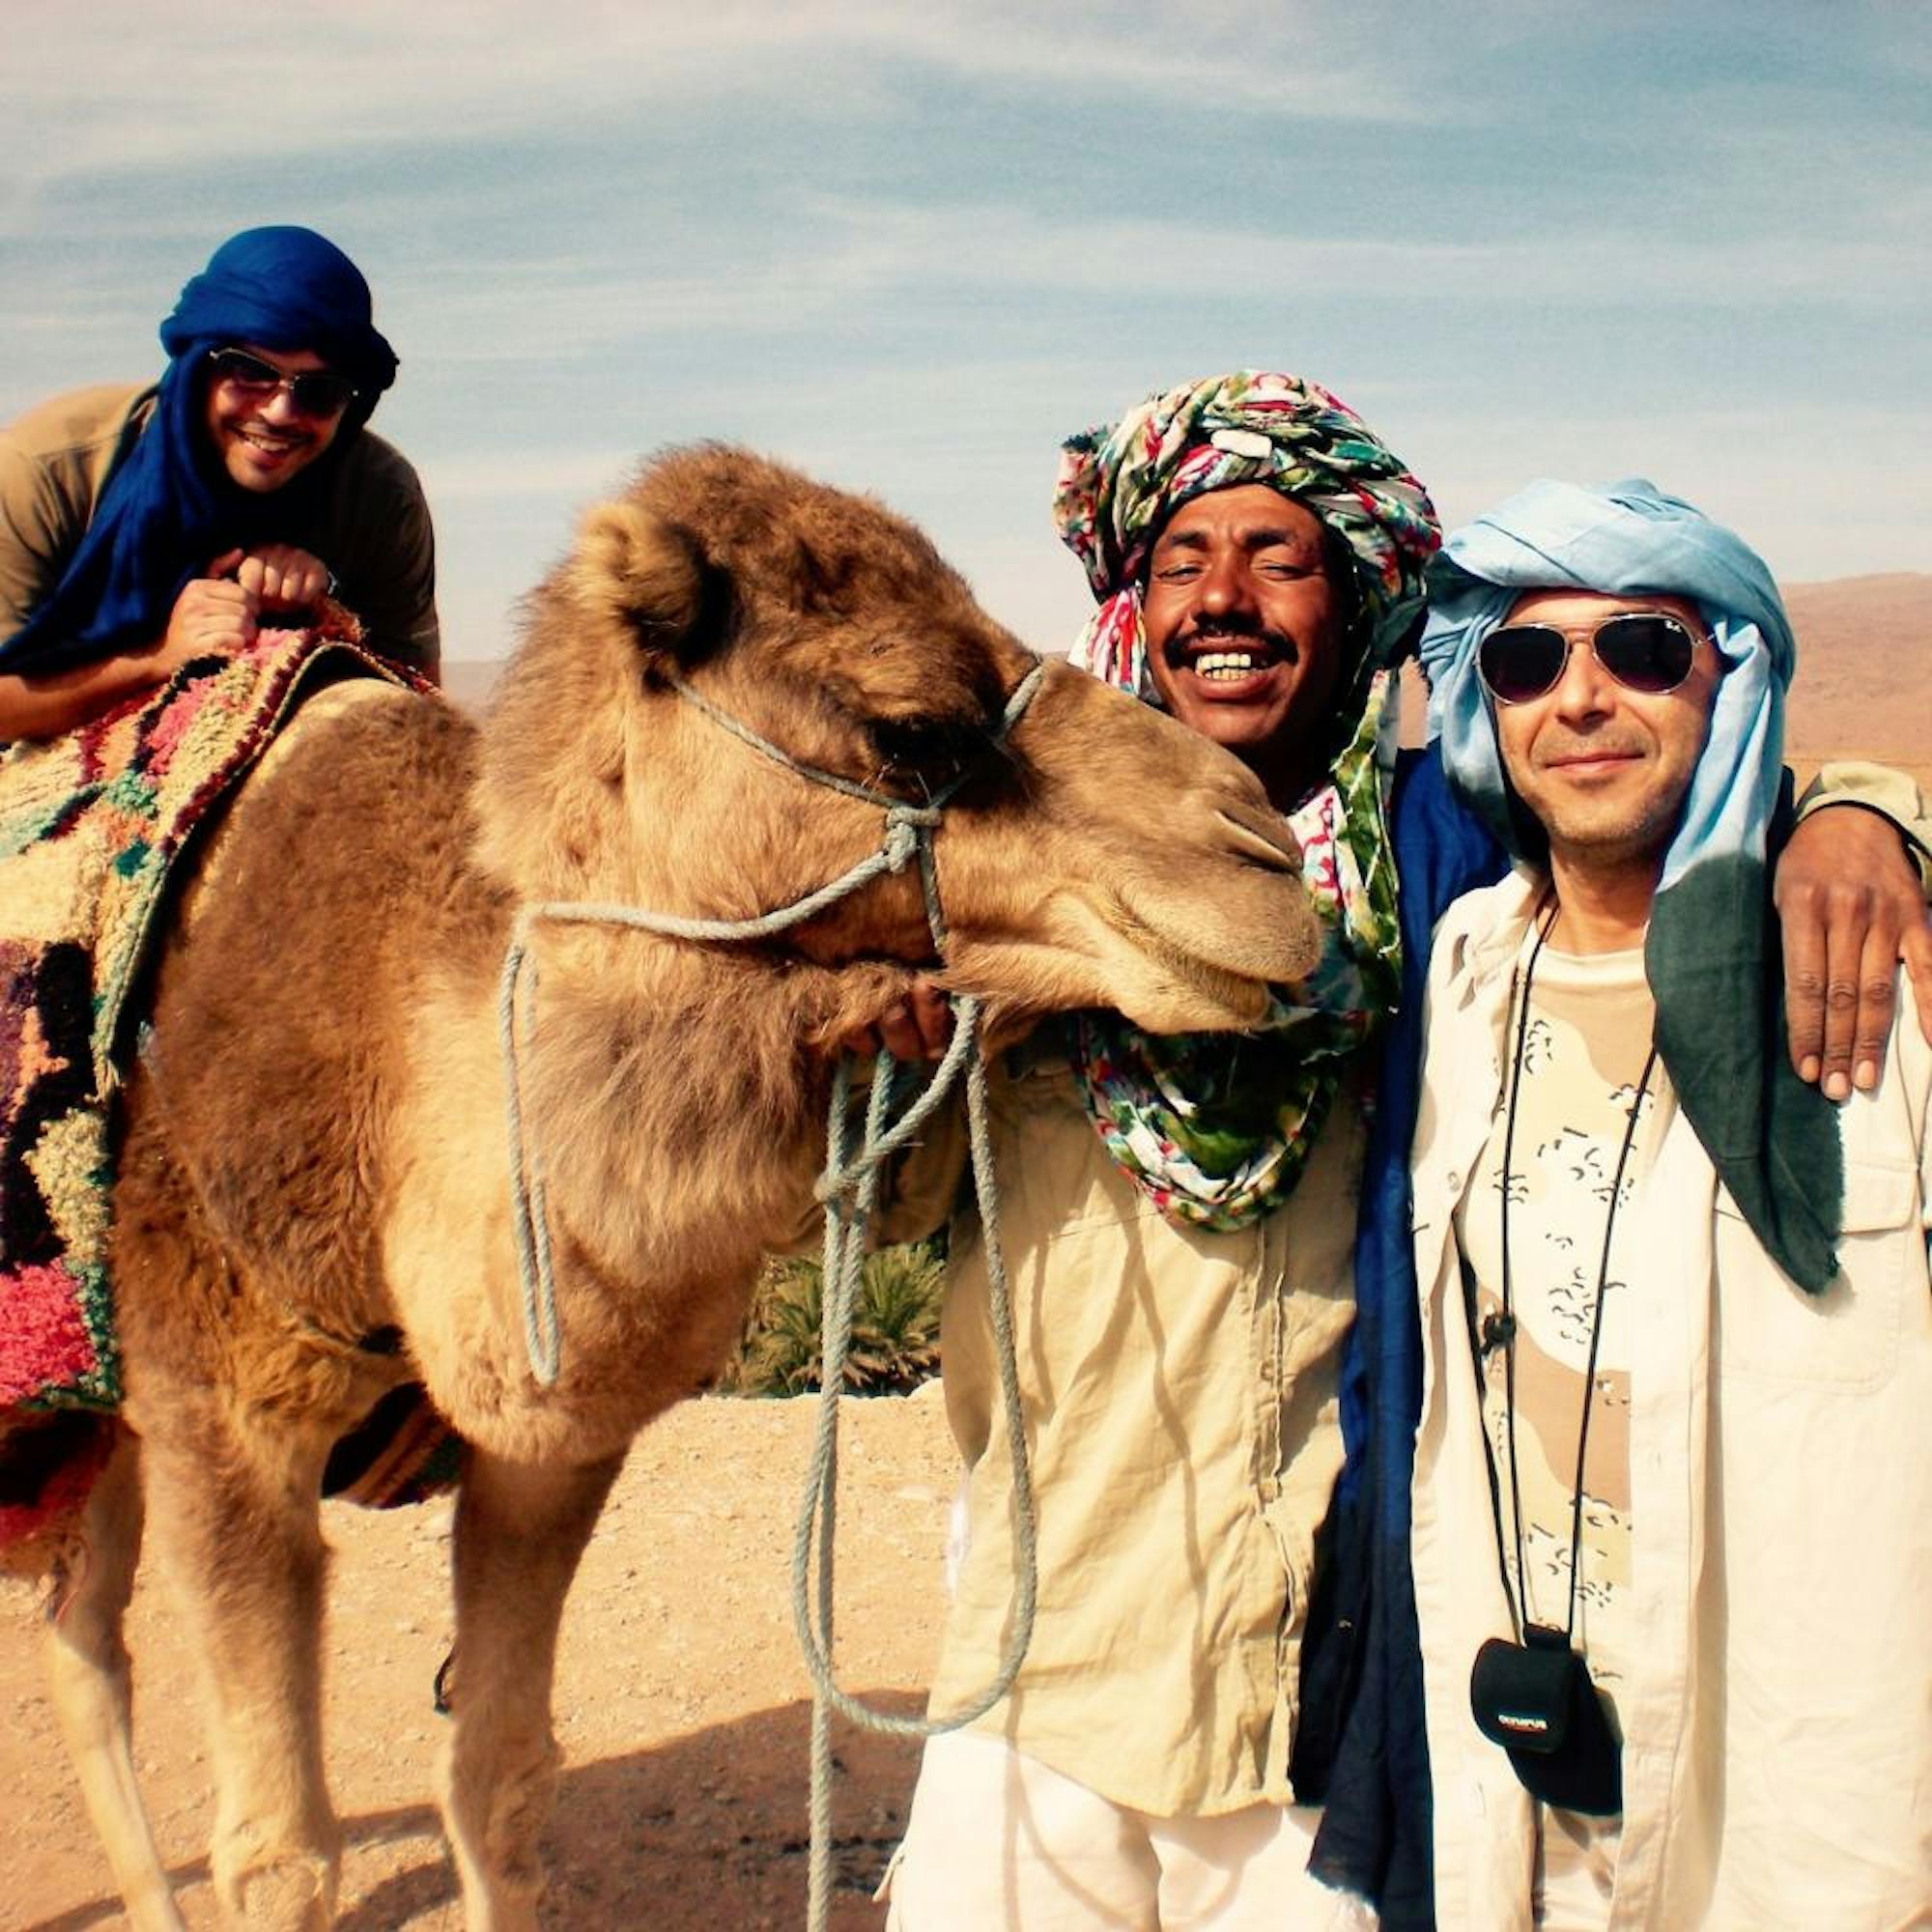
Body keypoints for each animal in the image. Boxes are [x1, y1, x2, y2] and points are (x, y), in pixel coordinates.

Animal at [34, 444, 1323, 1929]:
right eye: (910, 727)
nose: (1260, 853)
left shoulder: (556, 1445)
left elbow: (500, 1778)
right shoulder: (214, 1411)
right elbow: (280, 1855)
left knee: (79, 1630)